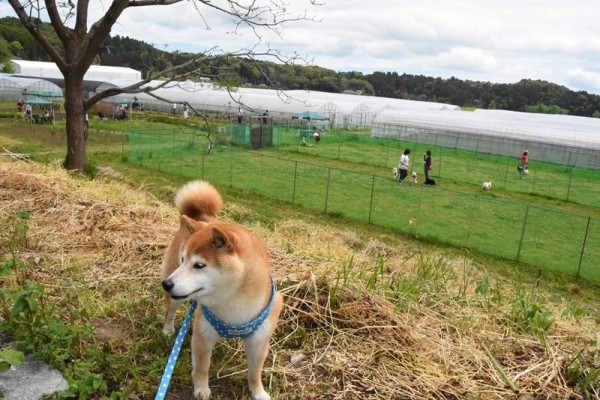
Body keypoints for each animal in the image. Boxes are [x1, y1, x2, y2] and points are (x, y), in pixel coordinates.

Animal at [158, 181, 282, 400]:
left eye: (199, 265)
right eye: (183, 260)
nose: (167, 283)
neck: (233, 301)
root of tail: (201, 217)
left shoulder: (259, 341)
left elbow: (255, 373)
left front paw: (258, 392)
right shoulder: (203, 334)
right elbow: (201, 368)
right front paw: (201, 389)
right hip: (175, 296)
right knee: (170, 312)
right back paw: (168, 329)